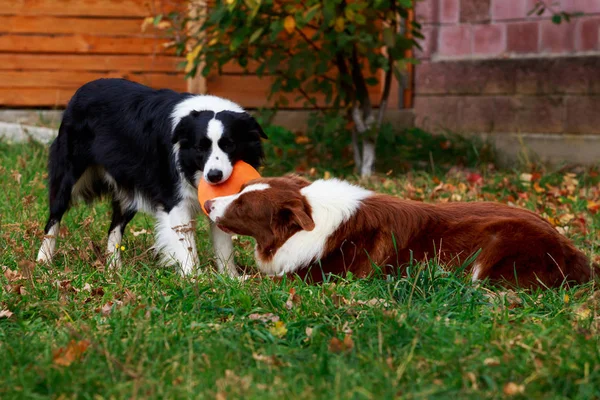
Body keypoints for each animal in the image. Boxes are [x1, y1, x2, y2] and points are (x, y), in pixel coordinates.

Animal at [37, 79, 268, 276]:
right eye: (200, 148)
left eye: (229, 145)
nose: (214, 176)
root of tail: (81, 89)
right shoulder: (175, 199)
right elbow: (186, 243)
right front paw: (195, 279)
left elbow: (224, 243)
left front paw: (231, 278)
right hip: (69, 172)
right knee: (55, 214)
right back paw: (43, 259)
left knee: (115, 226)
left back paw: (114, 267)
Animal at [203, 175, 596, 288]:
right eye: (241, 189)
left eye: (242, 206)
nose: (207, 205)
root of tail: (575, 253)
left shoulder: (319, 276)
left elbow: (254, 279)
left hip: (498, 245)